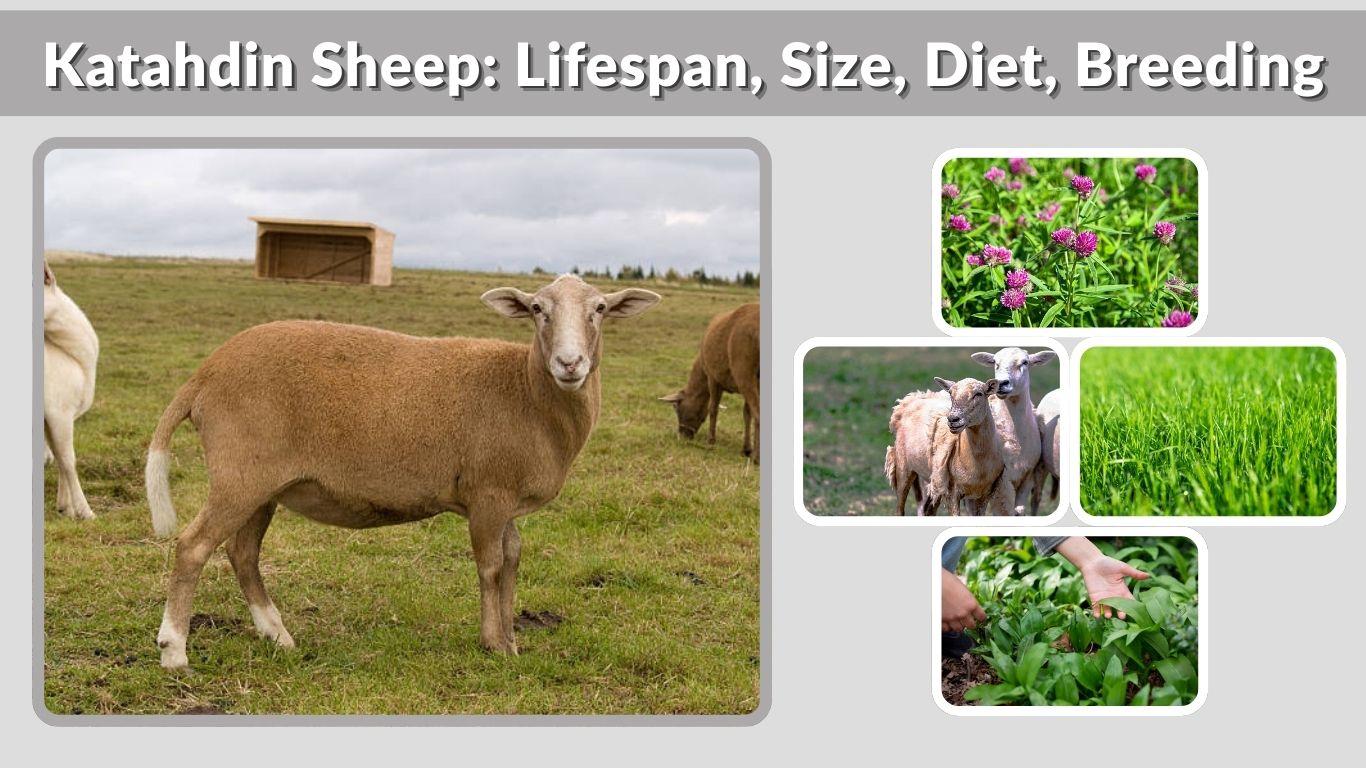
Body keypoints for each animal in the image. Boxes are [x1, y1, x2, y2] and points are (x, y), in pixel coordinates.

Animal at [144, 274, 660, 670]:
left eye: (599, 309)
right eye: (537, 309)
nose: (570, 363)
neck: (526, 391)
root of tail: (205, 374)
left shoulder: (505, 499)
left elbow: (513, 558)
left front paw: (512, 641)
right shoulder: (488, 494)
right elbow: (491, 566)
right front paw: (494, 644)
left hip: (262, 483)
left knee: (242, 553)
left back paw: (277, 635)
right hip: (239, 473)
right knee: (193, 547)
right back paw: (174, 651)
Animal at [658, 302, 760, 463]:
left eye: (676, 407)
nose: (682, 436)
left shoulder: (713, 377)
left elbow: (713, 408)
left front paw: (711, 441)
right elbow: (746, 412)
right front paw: (746, 449)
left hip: (744, 370)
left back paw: (756, 458)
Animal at [886, 377, 1013, 516]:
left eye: (978, 394)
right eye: (951, 393)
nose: (953, 419)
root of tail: (911, 399)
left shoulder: (983, 494)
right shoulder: (952, 490)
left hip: (934, 480)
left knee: (929, 511)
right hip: (903, 467)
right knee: (900, 509)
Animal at [970, 348, 1057, 515]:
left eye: (1025, 362)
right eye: (995, 363)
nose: (1001, 383)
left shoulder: (1027, 475)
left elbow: (1019, 511)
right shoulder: (1003, 481)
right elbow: (1004, 512)